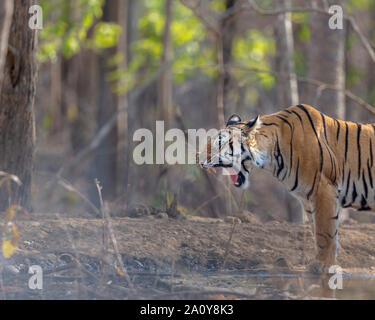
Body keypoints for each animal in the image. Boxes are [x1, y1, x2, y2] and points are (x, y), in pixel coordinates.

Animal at [198, 104, 375, 272]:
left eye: (219, 144)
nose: (198, 160)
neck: (271, 156)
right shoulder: (308, 198)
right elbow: (318, 231)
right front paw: (320, 262)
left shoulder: (323, 189)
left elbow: (325, 232)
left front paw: (323, 265)